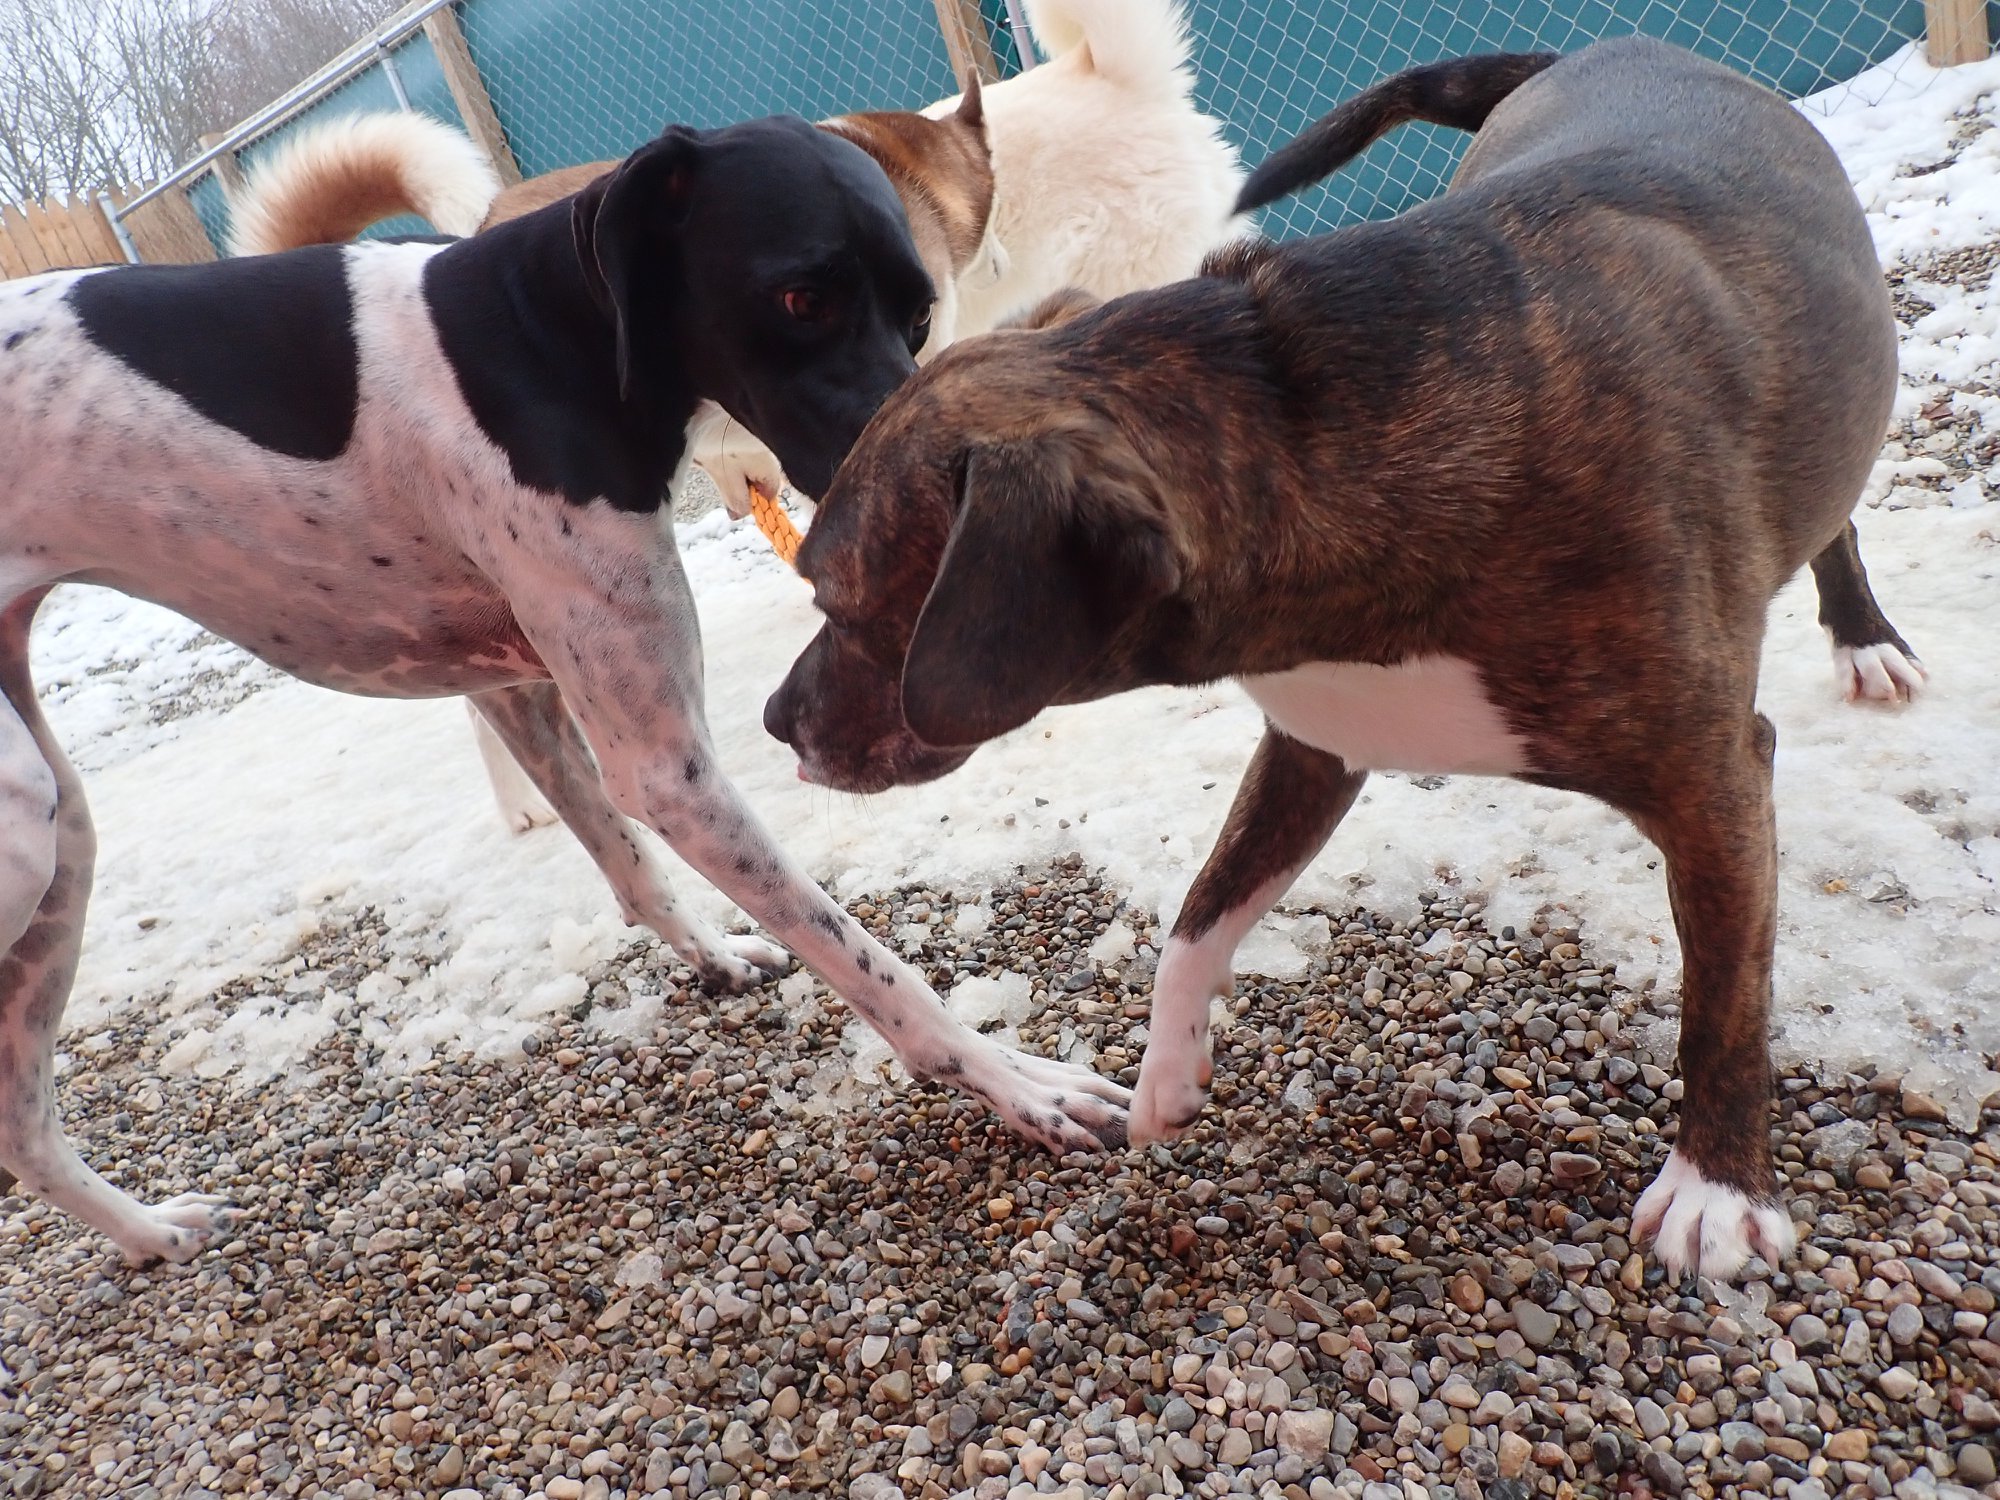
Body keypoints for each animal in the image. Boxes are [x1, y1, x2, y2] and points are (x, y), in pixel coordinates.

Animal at [0, 117, 1132, 1266]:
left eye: (918, 313)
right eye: (798, 297)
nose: (935, 469)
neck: (553, 339)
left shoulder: (525, 693)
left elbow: (627, 866)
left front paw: (714, 957)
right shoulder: (668, 767)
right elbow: (872, 963)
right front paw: (1021, 1086)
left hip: (61, 839)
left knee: (22, 1120)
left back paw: (146, 1232)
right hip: (26, 835)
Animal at [761, 40, 1924, 1283]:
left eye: (834, 591)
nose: (775, 722)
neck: (1303, 429)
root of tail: (1613, 46)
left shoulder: (1711, 785)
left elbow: (1724, 996)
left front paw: (1716, 1185)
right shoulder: (1313, 744)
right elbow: (1197, 915)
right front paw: (1166, 1078)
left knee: (1836, 525)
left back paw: (1864, 636)